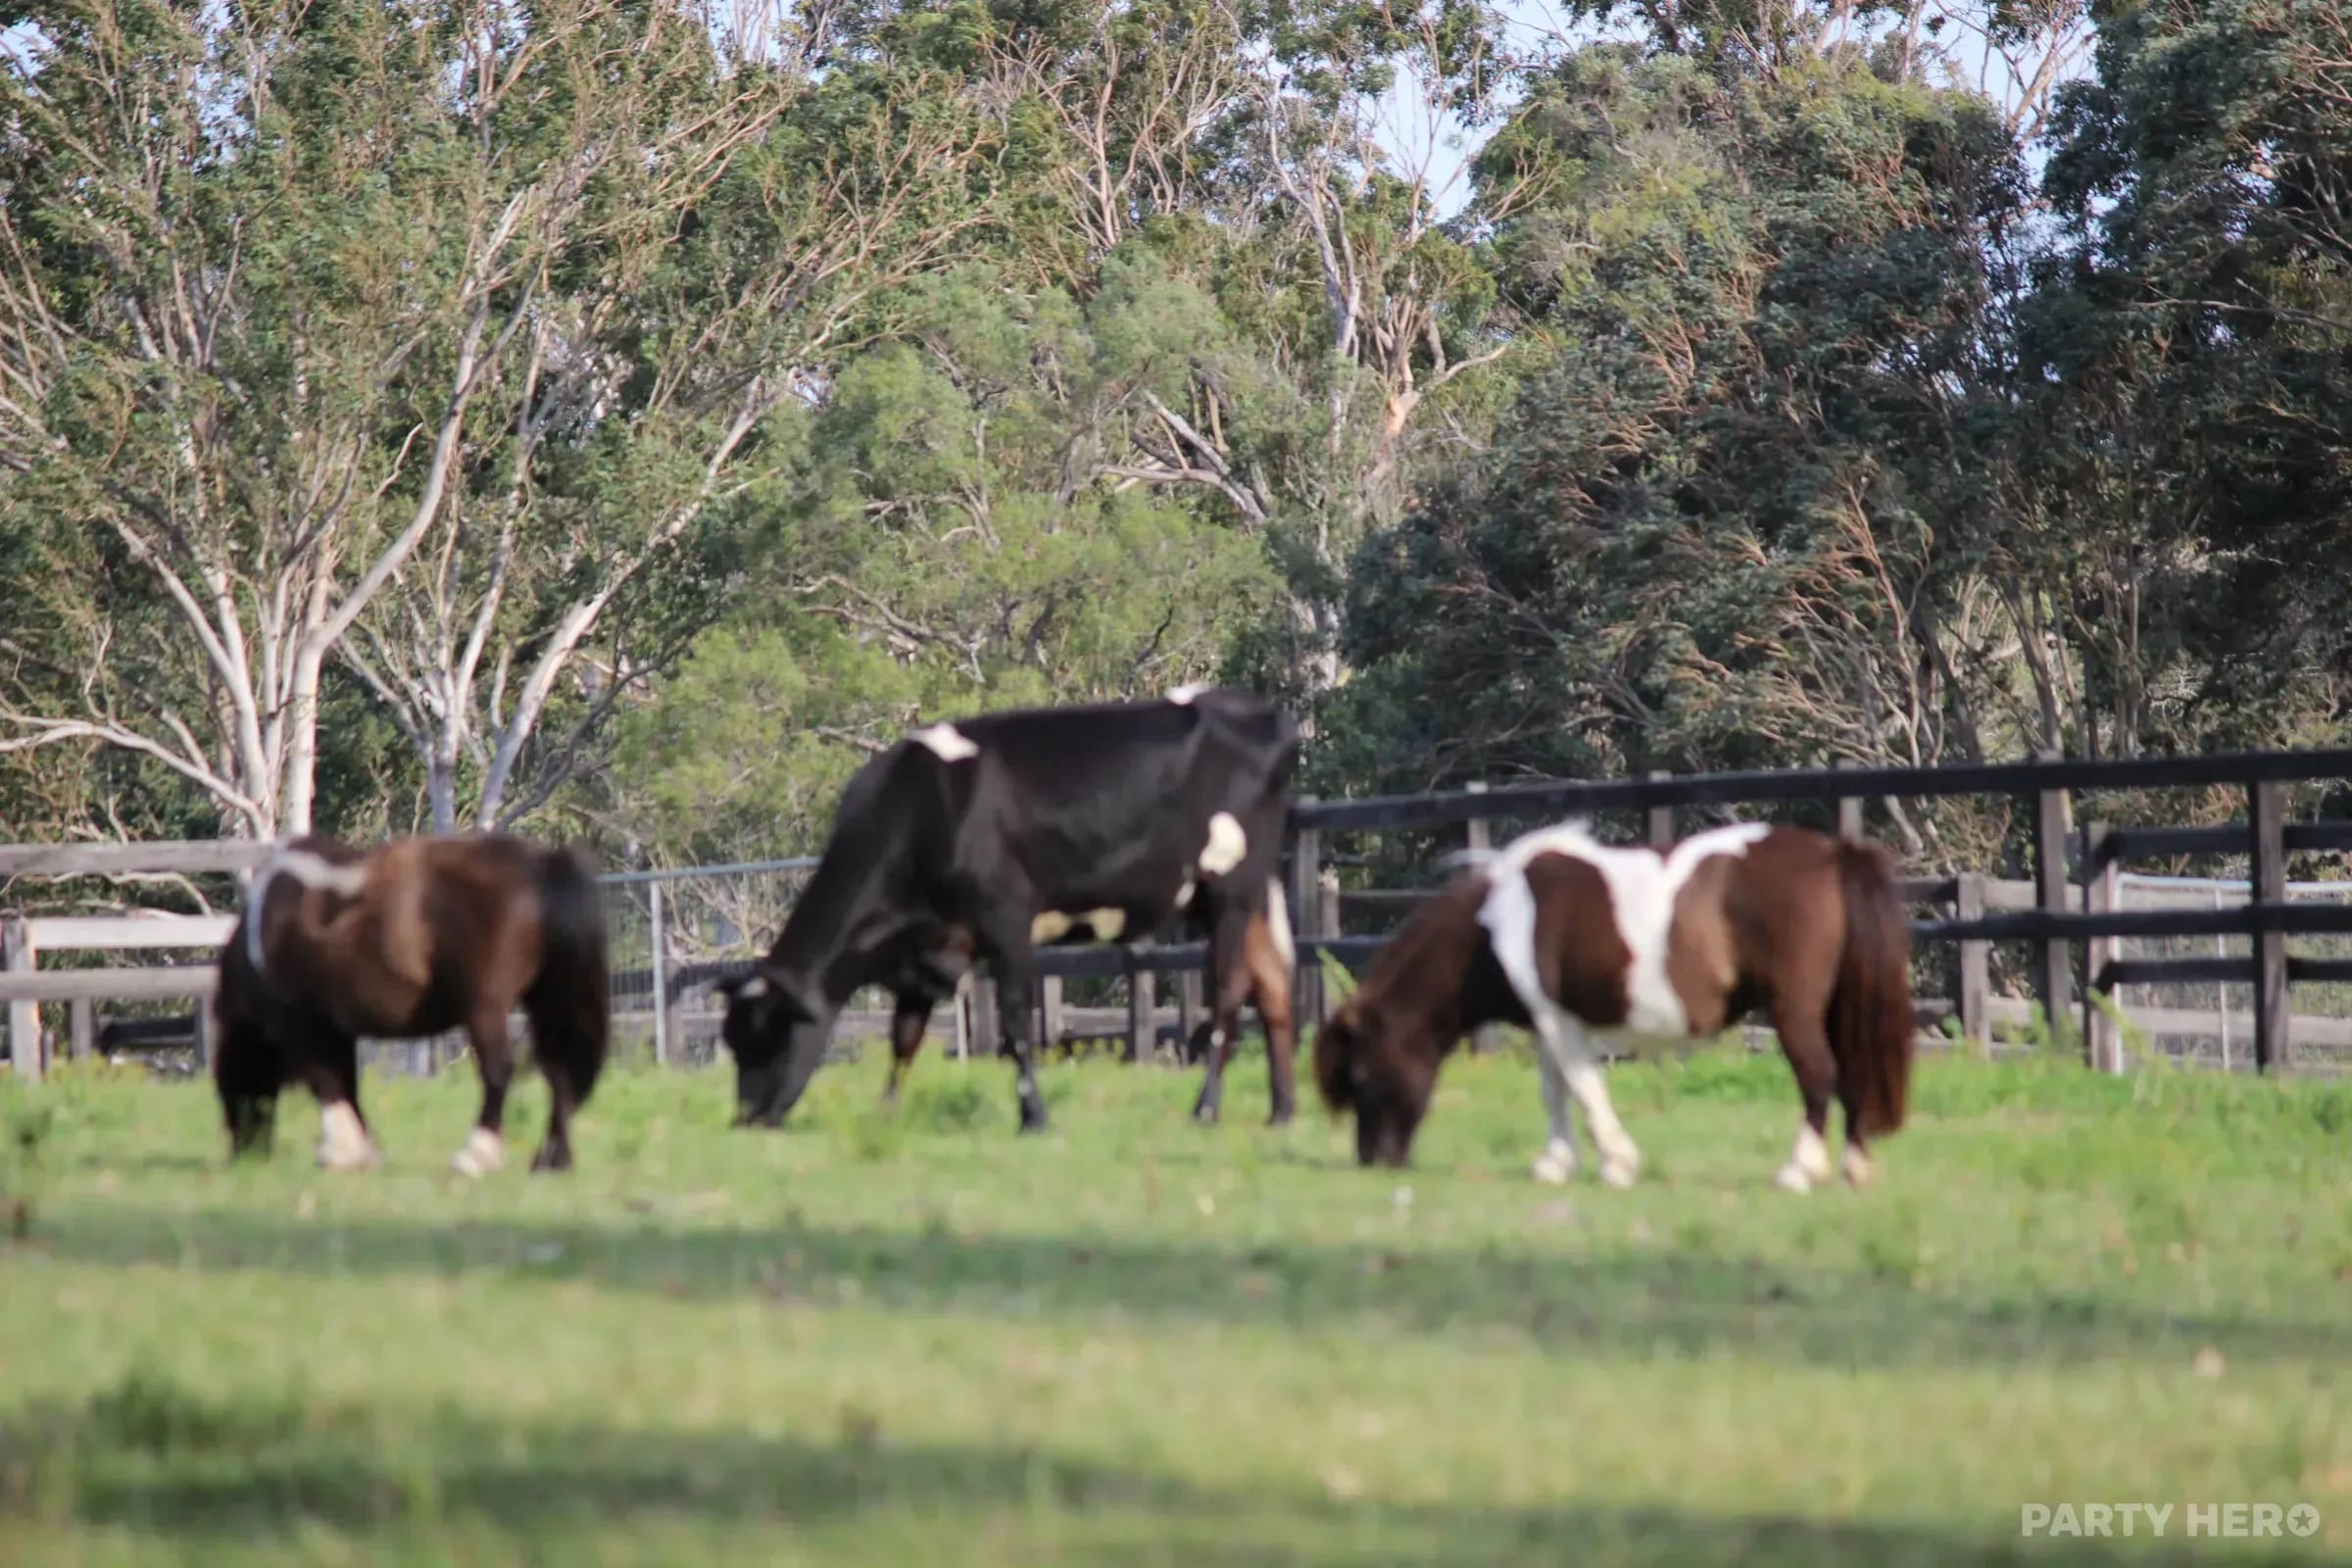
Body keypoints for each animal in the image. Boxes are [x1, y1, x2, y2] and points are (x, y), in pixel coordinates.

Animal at [212, 831, 610, 1175]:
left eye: (228, 1079)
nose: (243, 1155)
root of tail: (541, 863)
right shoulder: (336, 1030)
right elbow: (346, 1084)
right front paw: (363, 1151)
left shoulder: (303, 1025)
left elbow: (326, 1083)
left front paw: (341, 1151)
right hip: (546, 1002)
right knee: (559, 1072)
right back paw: (551, 1160)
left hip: (486, 1008)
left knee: (499, 1071)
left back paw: (476, 1155)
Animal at [1313, 820, 1914, 1192]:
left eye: (1361, 1075)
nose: (1374, 1161)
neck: (1497, 924)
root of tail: (1833, 853)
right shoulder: (1548, 1023)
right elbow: (1554, 1091)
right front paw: (1556, 1163)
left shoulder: (1560, 1022)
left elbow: (1583, 1088)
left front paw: (1616, 1163)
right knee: (1851, 1078)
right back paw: (1854, 1168)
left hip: (1794, 1011)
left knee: (1818, 1076)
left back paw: (1798, 1171)